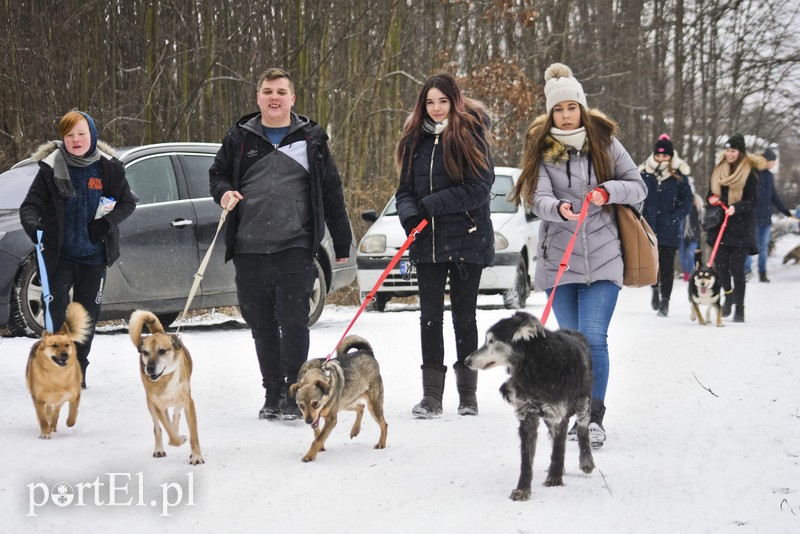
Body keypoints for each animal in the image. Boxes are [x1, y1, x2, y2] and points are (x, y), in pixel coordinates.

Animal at [26, 304, 91, 442]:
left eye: (66, 345)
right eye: (54, 345)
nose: (65, 355)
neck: (57, 374)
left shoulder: (74, 396)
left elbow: (71, 416)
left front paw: (70, 421)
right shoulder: (38, 399)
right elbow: (42, 418)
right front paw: (45, 432)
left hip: (59, 400)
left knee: (55, 412)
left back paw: (53, 425)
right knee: (49, 412)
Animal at [129, 312, 205, 466]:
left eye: (162, 351)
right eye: (145, 352)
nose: (149, 368)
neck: (165, 378)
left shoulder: (188, 402)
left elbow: (193, 434)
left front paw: (196, 456)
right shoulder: (157, 406)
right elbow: (168, 431)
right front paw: (178, 439)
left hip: (180, 399)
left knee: (176, 414)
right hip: (151, 405)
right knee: (158, 428)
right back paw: (160, 448)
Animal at [462, 312, 592, 504]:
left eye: (492, 341)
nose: (466, 361)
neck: (534, 365)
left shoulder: (558, 415)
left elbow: (559, 449)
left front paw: (554, 478)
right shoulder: (527, 416)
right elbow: (526, 458)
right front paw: (523, 489)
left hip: (584, 402)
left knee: (582, 430)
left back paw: (586, 461)